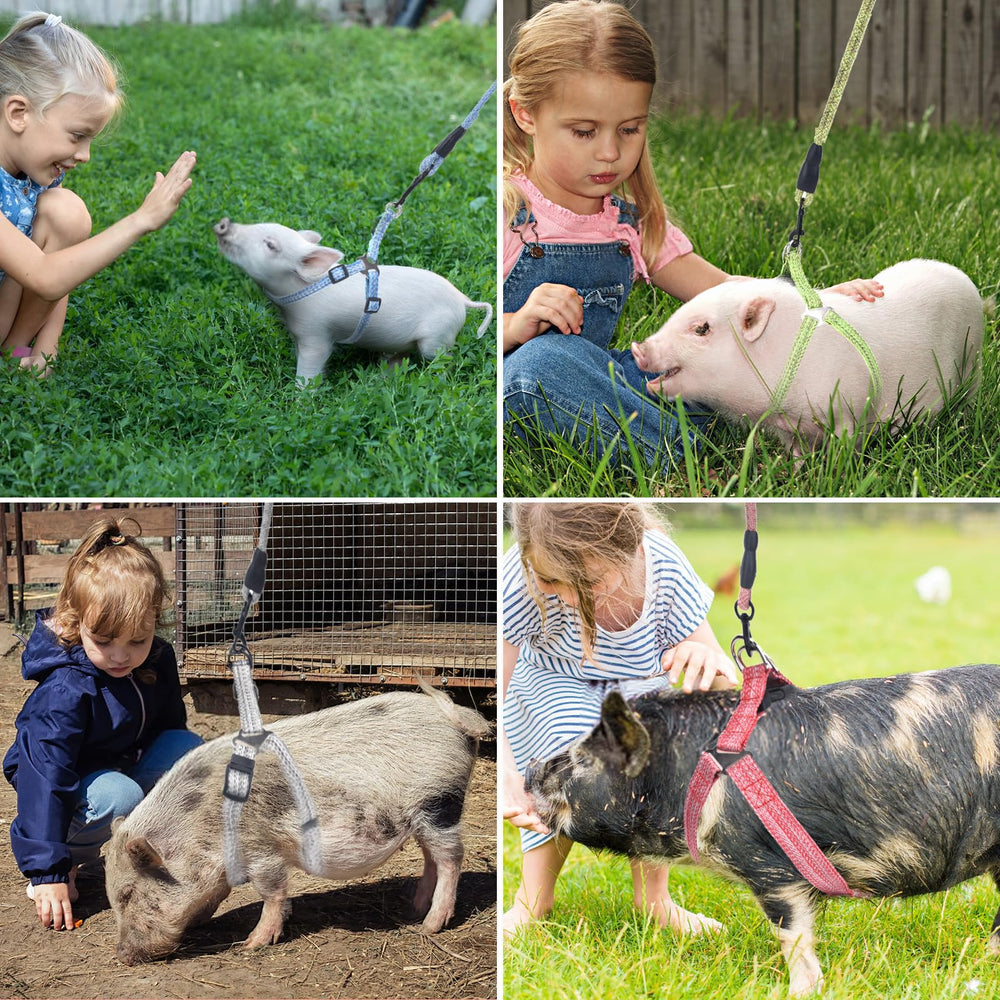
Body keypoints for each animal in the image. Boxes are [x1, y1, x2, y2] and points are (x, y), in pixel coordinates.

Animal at [105, 685, 491, 964]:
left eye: (128, 894)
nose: (121, 956)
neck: (198, 824)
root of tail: (456, 717)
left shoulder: (262, 848)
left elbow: (272, 892)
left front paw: (252, 944)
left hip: (440, 803)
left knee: (451, 858)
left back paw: (429, 926)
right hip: (422, 817)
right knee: (430, 859)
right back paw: (412, 908)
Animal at [214, 218, 493, 384]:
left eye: (271, 245)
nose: (224, 223)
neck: (301, 292)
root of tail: (463, 299)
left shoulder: (316, 335)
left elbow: (310, 369)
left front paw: (299, 403)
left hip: (438, 337)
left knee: (444, 360)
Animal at [630, 259, 983, 452]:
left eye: (701, 329)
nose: (638, 348)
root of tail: (964, 277)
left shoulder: (848, 408)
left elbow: (843, 449)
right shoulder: (787, 429)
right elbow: (796, 454)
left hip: (972, 360)